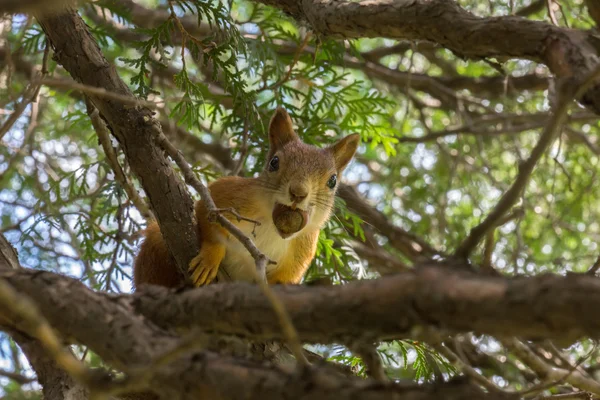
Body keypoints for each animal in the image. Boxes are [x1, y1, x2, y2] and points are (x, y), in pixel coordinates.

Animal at [134, 108, 358, 290]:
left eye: (332, 181)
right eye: (274, 162)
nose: (298, 192)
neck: (271, 227)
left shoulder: (301, 251)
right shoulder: (226, 194)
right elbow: (209, 219)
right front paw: (210, 258)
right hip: (156, 248)